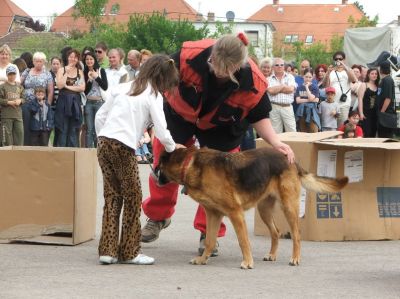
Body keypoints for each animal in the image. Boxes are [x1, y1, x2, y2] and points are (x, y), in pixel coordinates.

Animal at [155, 146, 348, 270]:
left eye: (158, 167)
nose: (154, 177)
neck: (189, 164)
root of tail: (289, 159)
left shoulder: (235, 213)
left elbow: (243, 241)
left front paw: (247, 262)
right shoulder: (213, 214)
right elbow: (209, 240)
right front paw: (203, 259)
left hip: (288, 207)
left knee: (296, 234)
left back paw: (295, 258)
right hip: (264, 210)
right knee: (276, 232)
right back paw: (272, 255)